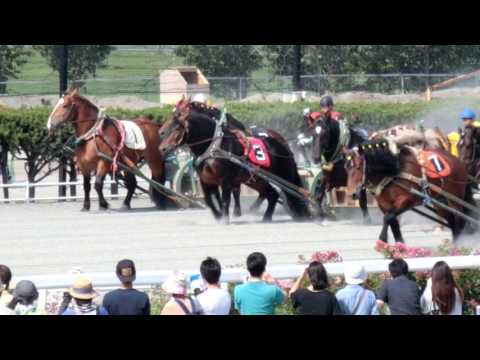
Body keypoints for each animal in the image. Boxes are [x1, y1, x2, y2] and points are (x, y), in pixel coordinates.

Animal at [156, 98, 310, 222]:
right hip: (258, 179)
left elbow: (226, 199)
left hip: (282, 176)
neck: (214, 147)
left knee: (287, 193)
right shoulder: (206, 180)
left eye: (176, 126)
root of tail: (284, 147)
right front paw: (219, 215)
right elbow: (210, 200)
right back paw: (265, 216)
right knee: (271, 195)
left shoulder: (226, 180)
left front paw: (226, 218)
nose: (162, 146)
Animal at [344, 139, 474, 243]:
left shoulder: (407, 200)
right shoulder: (385, 205)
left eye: (358, 167)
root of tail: (459, 162)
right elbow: (393, 223)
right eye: (346, 167)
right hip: (441, 202)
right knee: (452, 221)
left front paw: (383, 238)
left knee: (460, 221)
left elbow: (388, 217)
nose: (352, 194)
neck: (395, 172)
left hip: (455, 199)